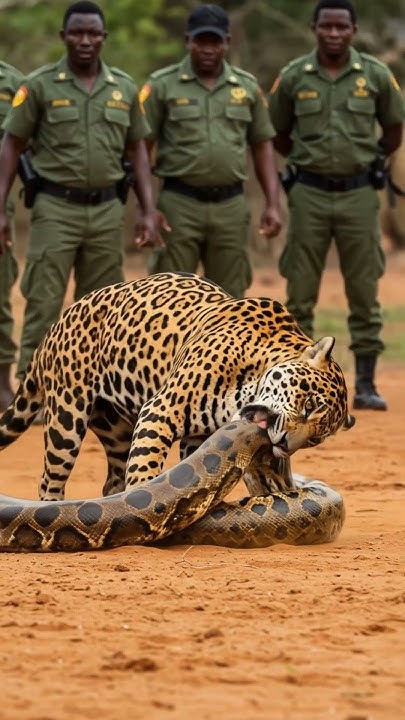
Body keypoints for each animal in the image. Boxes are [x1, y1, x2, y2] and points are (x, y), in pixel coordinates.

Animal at [0, 272, 355, 502]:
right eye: (309, 404)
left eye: (316, 439)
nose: (285, 444)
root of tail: (57, 325)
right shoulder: (161, 409)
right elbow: (145, 464)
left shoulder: (198, 436)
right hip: (67, 420)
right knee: (50, 480)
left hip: (114, 430)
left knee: (112, 478)